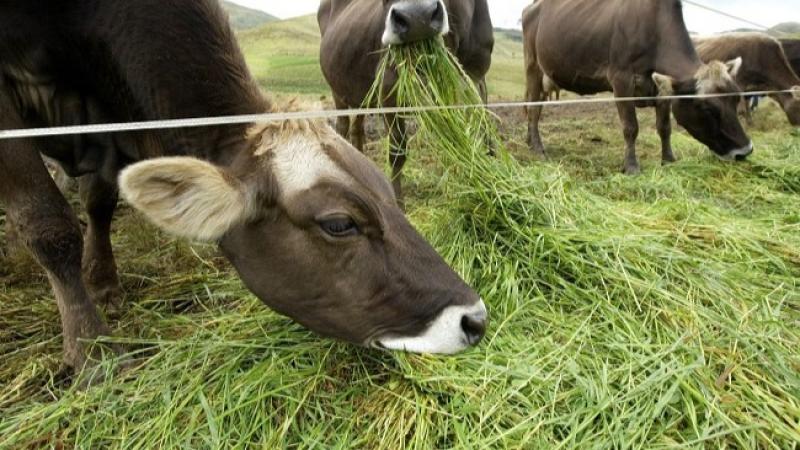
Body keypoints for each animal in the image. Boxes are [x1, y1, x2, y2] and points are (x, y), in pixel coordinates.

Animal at [318, 0, 494, 200]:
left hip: (360, 93)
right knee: (342, 127)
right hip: (336, 89)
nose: (418, 17)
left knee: (357, 129)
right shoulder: (389, 85)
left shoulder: (477, 78)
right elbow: (397, 152)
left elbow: (484, 132)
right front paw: (399, 203)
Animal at [520, 0, 752, 174]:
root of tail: (533, 6)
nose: (744, 151)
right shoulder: (621, 79)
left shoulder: (661, 89)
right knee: (533, 106)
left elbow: (664, 128)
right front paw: (631, 167)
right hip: (533, 64)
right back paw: (538, 148)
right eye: (707, 108)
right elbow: (631, 127)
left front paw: (668, 159)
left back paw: (530, 141)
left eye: (736, 98)